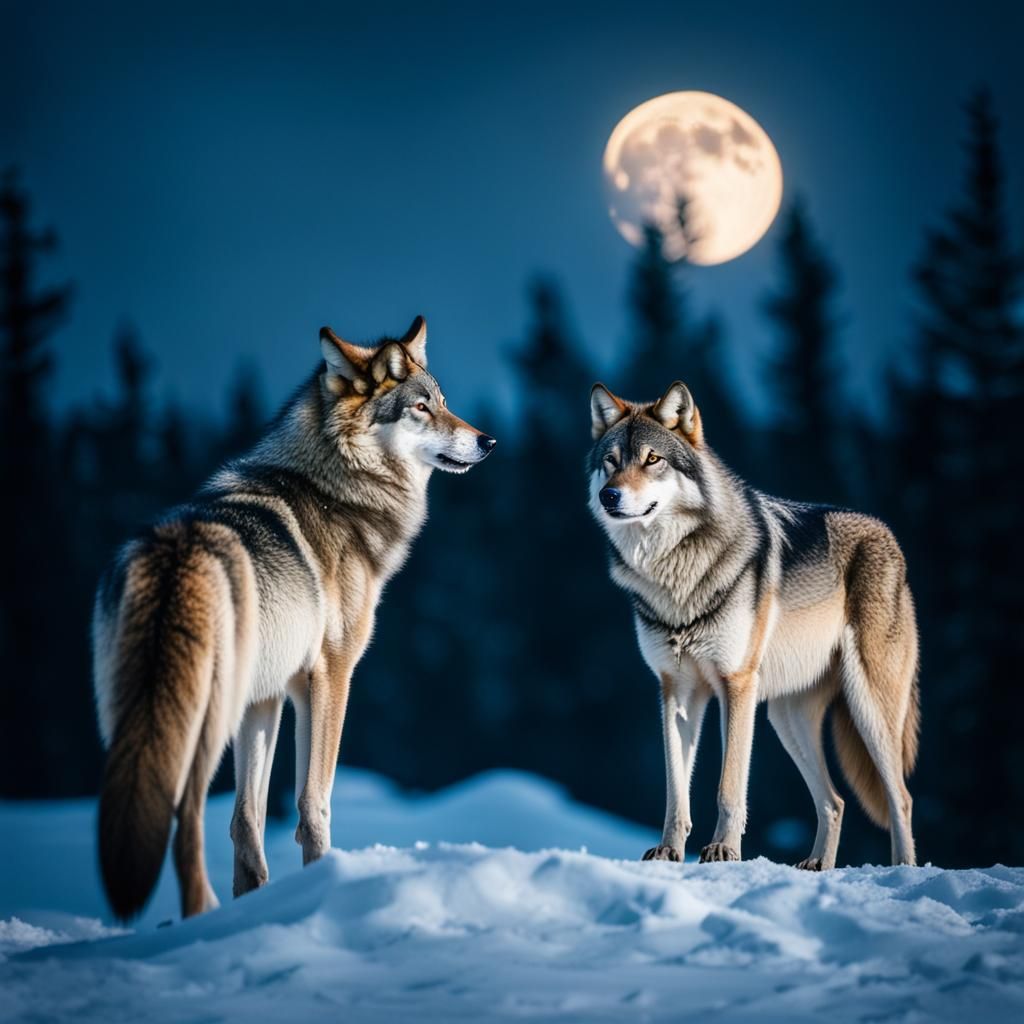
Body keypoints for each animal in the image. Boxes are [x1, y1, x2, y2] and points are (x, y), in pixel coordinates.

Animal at [93, 317, 495, 920]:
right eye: (421, 407)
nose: (487, 441)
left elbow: (247, 821)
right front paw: (320, 887)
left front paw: (256, 904)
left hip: (136, 723)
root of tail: (176, 556)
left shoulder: (267, 696)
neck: (340, 487)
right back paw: (198, 916)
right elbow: (314, 804)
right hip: (204, 723)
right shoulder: (330, 675)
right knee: (186, 820)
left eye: (444, 403)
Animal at [588, 380, 919, 869]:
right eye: (611, 461)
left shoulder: (736, 685)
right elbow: (675, 789)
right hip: (786, 717)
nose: (609, 496)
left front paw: (724, 850)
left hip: (870, 709)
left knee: (901, 797)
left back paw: (903, 870)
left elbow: (729, 786)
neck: (675, 575)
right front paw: (669, 851)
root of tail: (887, 534)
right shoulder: (675, 690)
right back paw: (817, 865)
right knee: (835, 801)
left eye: (652, 459)